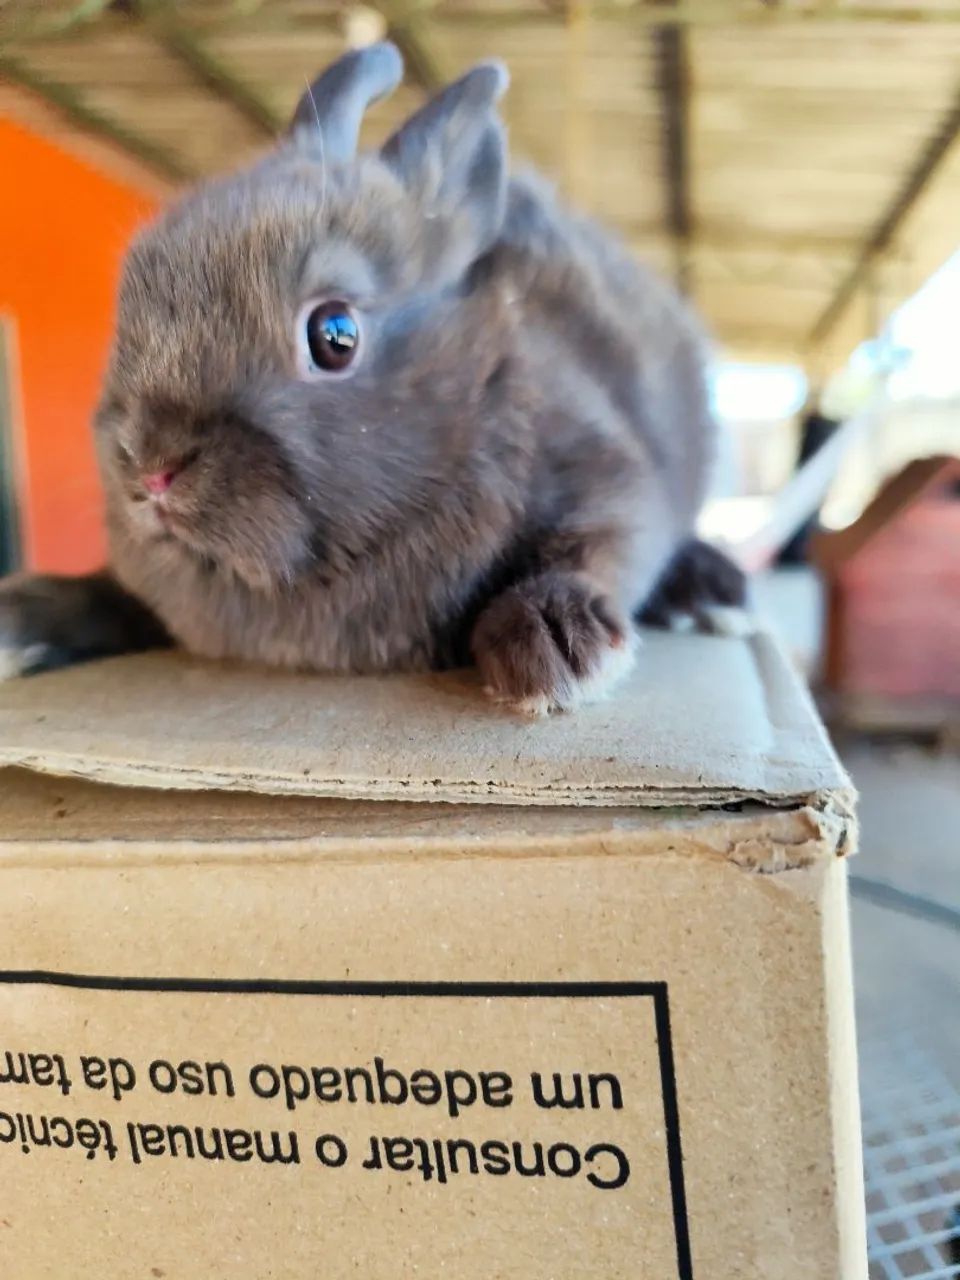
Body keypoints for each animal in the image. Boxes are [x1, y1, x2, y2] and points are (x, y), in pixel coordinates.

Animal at [0, 42, 747, 714]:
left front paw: (554, 649)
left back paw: (712, 594)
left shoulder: (606, 473)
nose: (150, 468)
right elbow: (112, 595)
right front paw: (24, 618)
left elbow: (603, 547)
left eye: (334, 335)